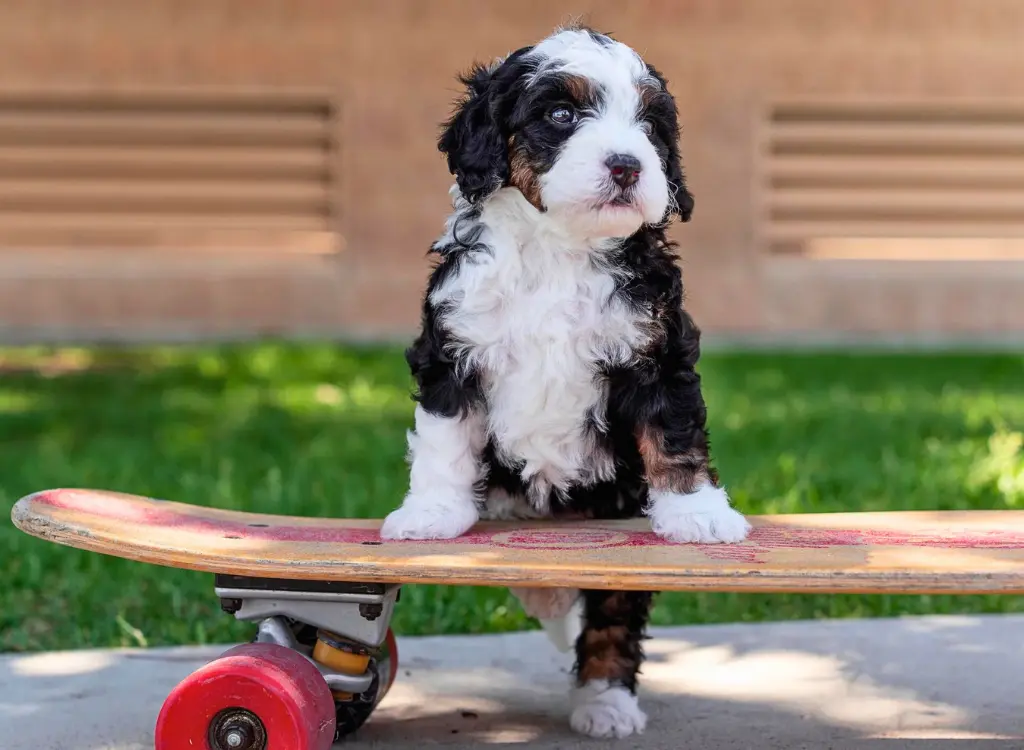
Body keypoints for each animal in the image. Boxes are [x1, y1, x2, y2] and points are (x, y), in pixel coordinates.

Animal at [380, 24, 749, 737]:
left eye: (649, 125)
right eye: (559, 114)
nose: (628, 166)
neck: (558, 248)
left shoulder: (659, 351)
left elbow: (674, 437)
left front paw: (697, 513)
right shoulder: (452, 348)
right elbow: (443, 440)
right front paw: (431, 513)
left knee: (611, 616)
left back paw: (604, 700)